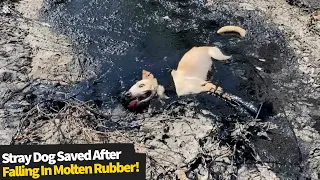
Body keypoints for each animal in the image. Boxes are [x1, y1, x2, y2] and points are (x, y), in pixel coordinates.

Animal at [122, 25, 258, 112]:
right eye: (131, 87)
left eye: (141, 85)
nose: (126, 95)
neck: (171, 86)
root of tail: (204, 46)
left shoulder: (206, 86)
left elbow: (221, 92)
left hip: (218, 55)